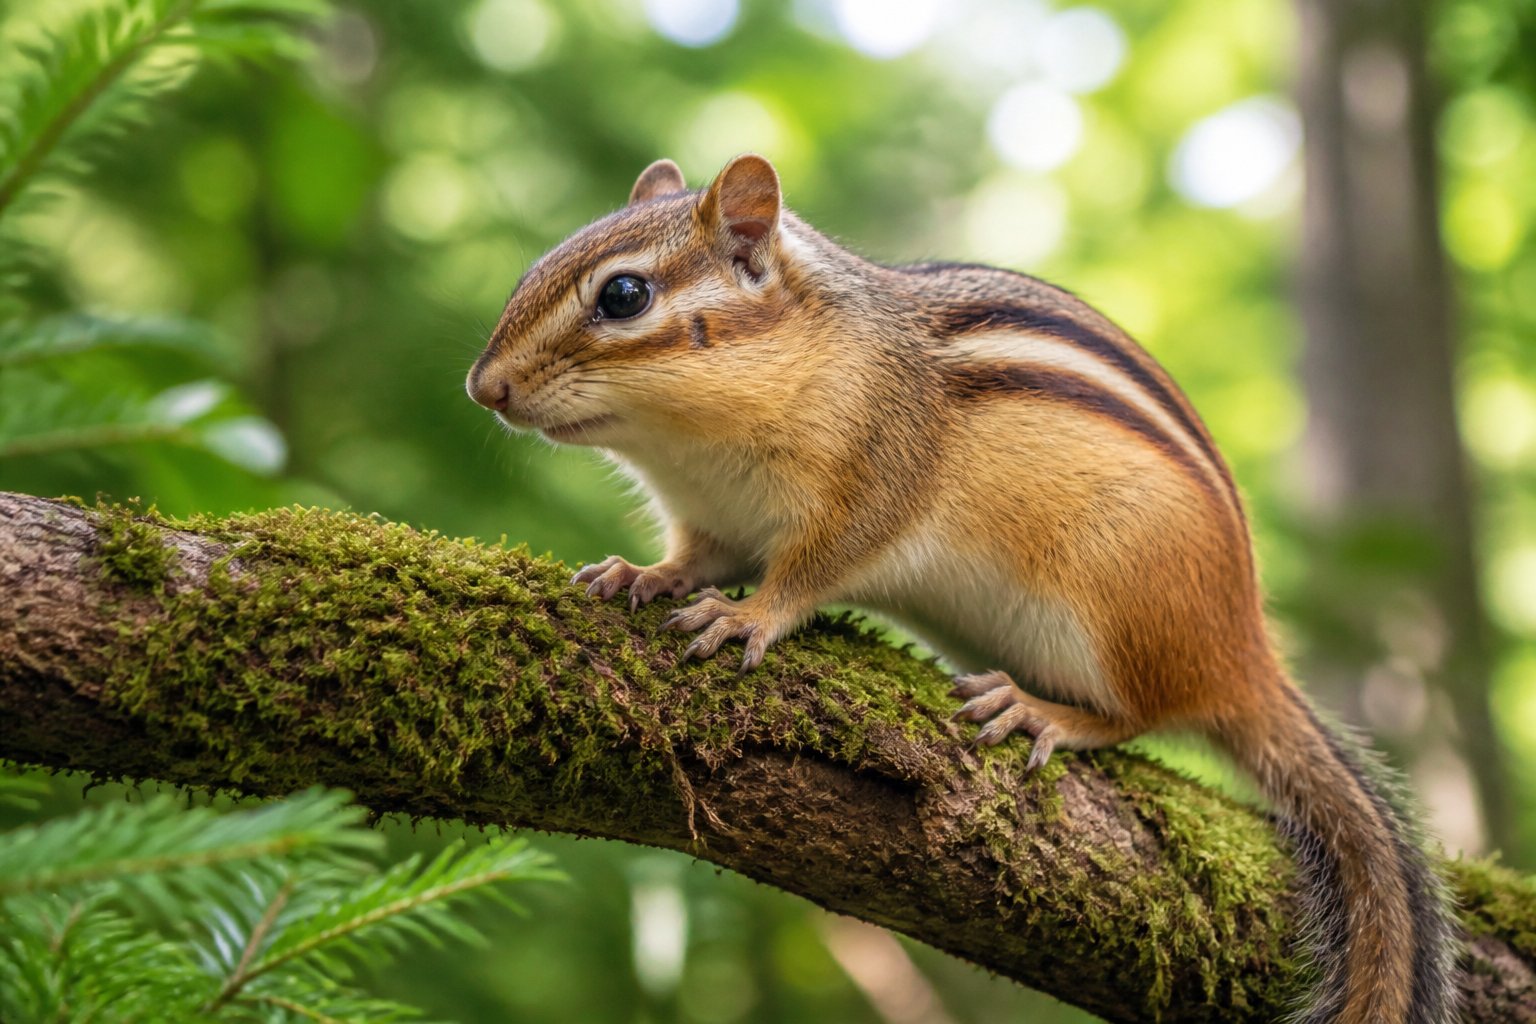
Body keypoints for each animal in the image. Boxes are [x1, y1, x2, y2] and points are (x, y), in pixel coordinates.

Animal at [467, 154, 1457, 1024]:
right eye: (533, 271)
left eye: (623, 296)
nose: (484, 388)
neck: (693, 444)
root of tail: (1247, 656)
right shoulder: (713, 520)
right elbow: (694, 558)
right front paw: (641, 573)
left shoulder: (875, 481)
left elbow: (812, 570)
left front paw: (750, 618)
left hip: (1113, 609)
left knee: (1143, 712)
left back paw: (1045, 712)